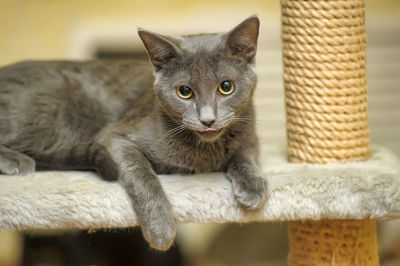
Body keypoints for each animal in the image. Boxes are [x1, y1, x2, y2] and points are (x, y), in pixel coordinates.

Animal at [0, 16, 268, 249]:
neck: (203, 152)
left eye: (226, 87)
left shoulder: (251, 135)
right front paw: (161, 229)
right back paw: (16, 161)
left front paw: (253, 186)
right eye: (184, 91)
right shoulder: (114, 138)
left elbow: (245, 154)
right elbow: (143, 176)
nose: (208, 119)